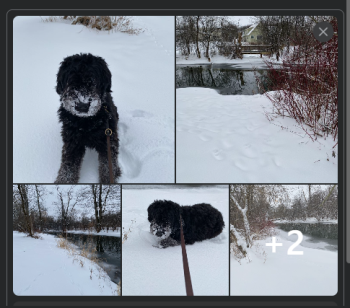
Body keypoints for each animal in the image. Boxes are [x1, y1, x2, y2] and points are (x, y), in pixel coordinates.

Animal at [54, 53, 121, 184]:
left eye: (93, 81)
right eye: (71, 82)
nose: (82, 106)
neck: (86, 122)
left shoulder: (108, 141)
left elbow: (108, 166)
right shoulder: (72, 142)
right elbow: (68, 168)